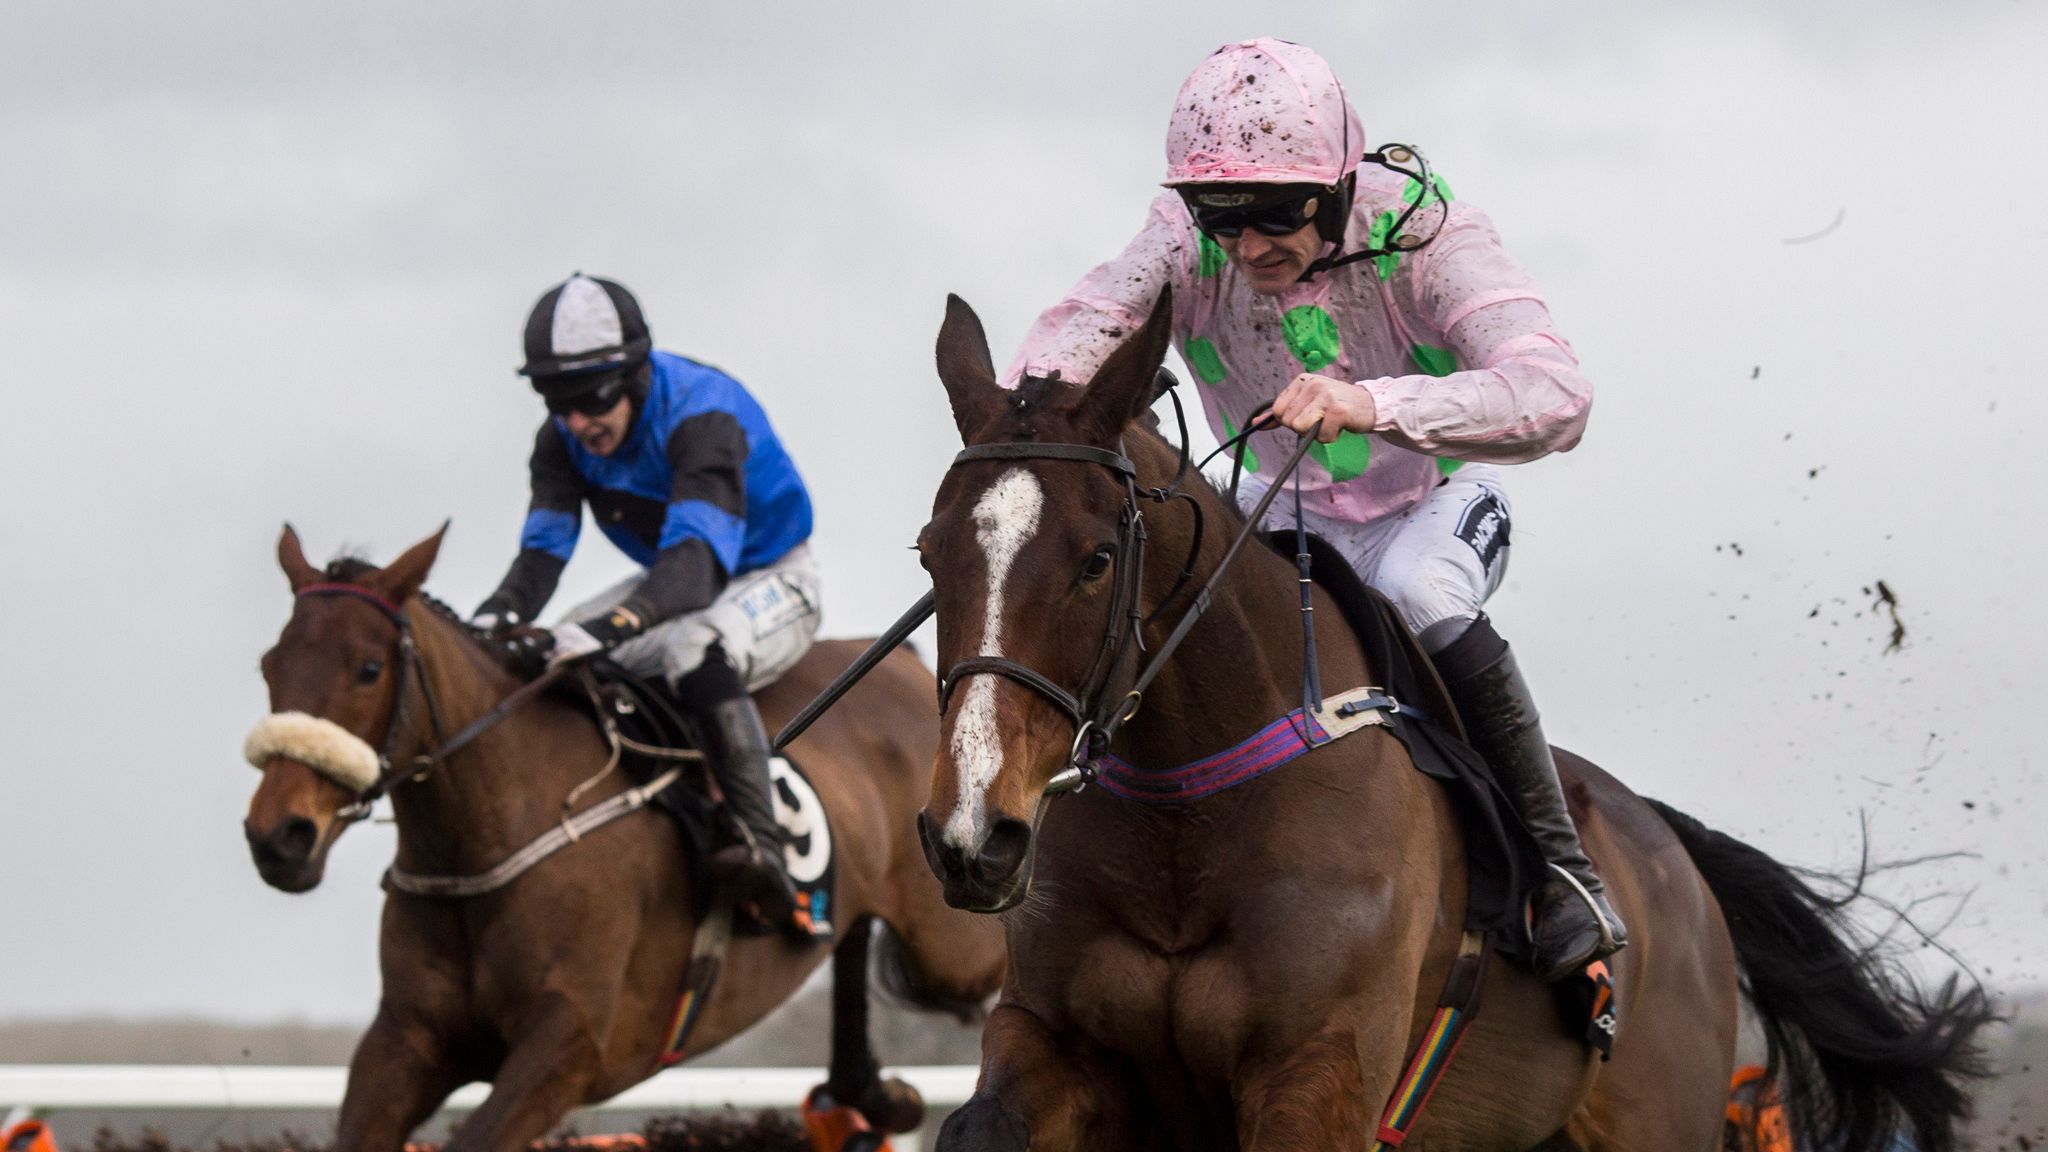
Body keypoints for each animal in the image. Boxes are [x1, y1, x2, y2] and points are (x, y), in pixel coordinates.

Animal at [243, 525, 1006, 1152]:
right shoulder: (405, 1039)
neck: (490, 832)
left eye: (368, 669)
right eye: (269, 666)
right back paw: (872, 1094)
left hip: (950, 946)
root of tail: (903, 661)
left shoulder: (573, 1045)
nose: (278, 835)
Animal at [912, 291, 1991, 1151]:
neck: (1187, 826)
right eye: (930, 553)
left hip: (1656, 1119)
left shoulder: (1318, 1073)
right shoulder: (1054, 1047)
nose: (972, 835)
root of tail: (1673, 851)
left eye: (1096, 559)